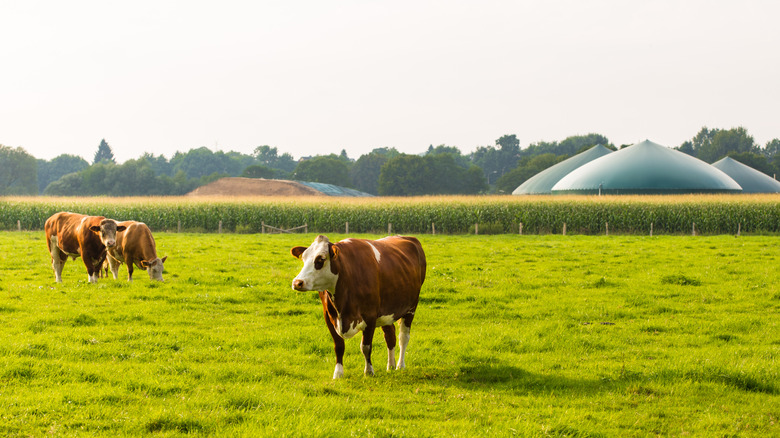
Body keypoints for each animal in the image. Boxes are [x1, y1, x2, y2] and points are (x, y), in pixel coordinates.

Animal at [290, 234, 426, 378]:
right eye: (304, 258)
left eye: (320, 259)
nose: (297, 282)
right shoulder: (329, 315)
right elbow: (338, 346)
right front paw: (338, 373)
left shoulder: (370, 315)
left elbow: (366, 346)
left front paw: (369, 371)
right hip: (387, 310)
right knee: (390, 335)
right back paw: (391, 365)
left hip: (411, 307)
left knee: (403, 337)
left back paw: (400, 365)